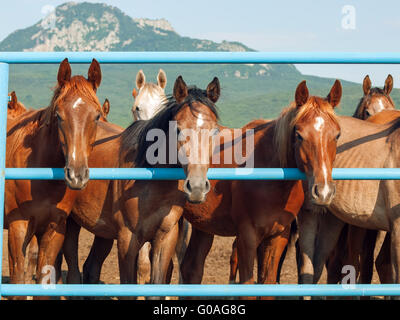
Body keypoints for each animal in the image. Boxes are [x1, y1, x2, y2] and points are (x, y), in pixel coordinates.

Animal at [4, 58, 103, 296]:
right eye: (58, 115)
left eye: (97, 116)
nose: (77, 175)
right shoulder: (18, 227)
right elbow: (18, 281)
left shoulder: (53, 229)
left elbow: (44, 280)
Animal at [180, 79, 342, 298]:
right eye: (299, 135)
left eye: (337, 135)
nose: (323, 192)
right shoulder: (247, 237)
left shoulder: (277, 237)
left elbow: (267, 285)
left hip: (203, 225)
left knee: (192, 269)